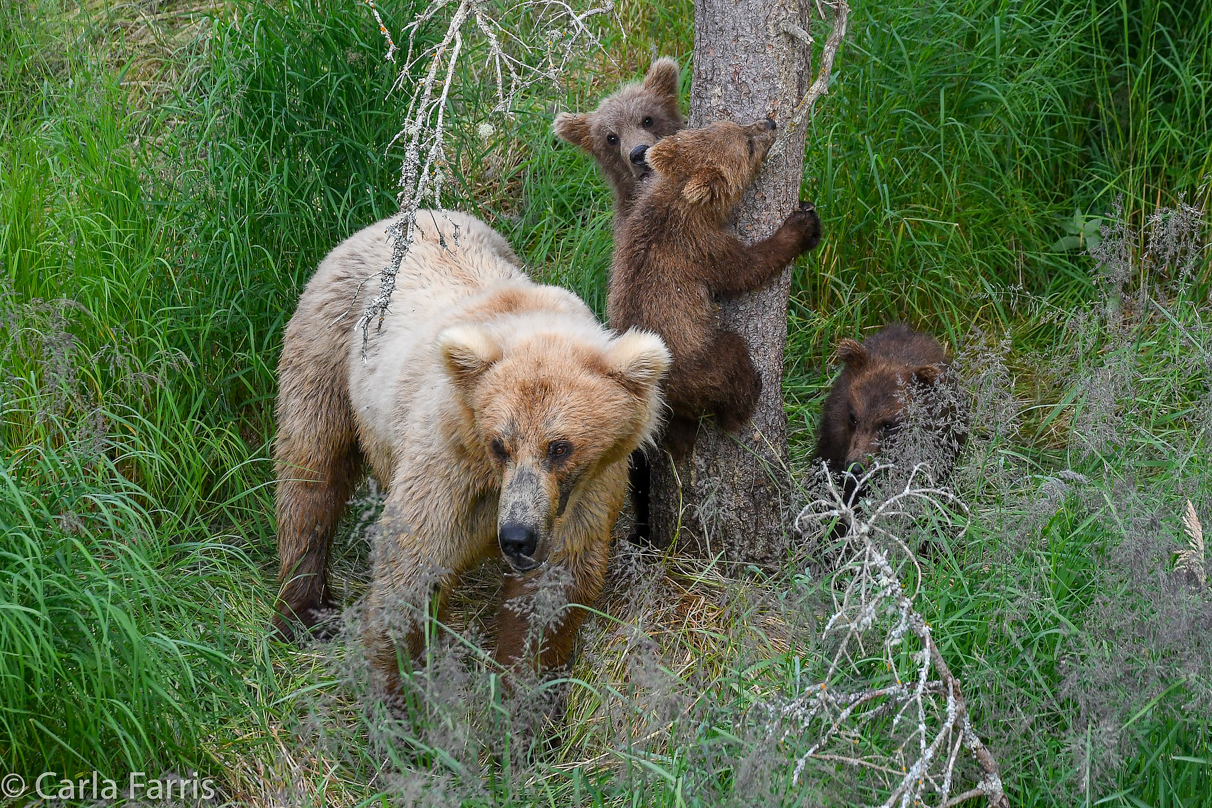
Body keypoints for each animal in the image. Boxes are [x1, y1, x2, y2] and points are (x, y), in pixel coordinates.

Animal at [273, 211, 673, 688]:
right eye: (500, 444)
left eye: (559, 447)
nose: (517, 537)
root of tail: (388, 220)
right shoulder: (449, 466)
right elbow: (413, 569)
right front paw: (402, 689)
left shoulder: (586, 490)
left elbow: (551, 593)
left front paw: (522, 688)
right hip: (329, 347)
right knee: (311, 471)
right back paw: (304, 611)